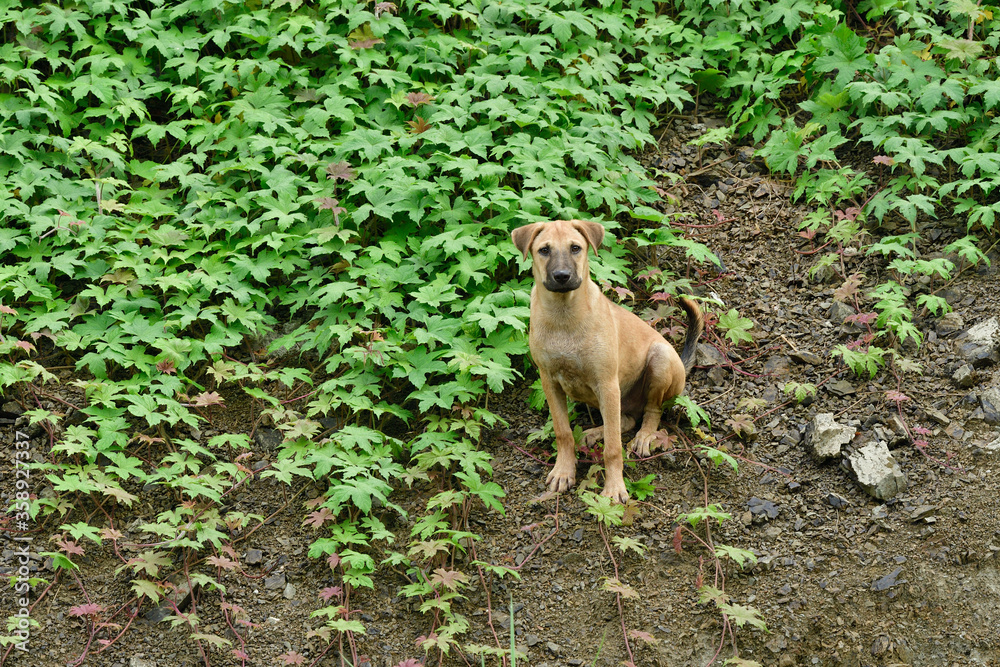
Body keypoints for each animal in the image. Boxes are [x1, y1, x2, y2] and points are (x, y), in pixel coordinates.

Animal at [512, 222, 708, 504]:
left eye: (575, 248)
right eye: (544, 250)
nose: (562, 276)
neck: (563, 315)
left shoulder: (607, 383)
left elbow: (613, 448)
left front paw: (614, 488)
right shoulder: (549, 382)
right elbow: (563, 432)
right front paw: (563, 471)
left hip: (659, 359)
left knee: (651, 412)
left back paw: (644, 437)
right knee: (624, 420)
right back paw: (594, 432)